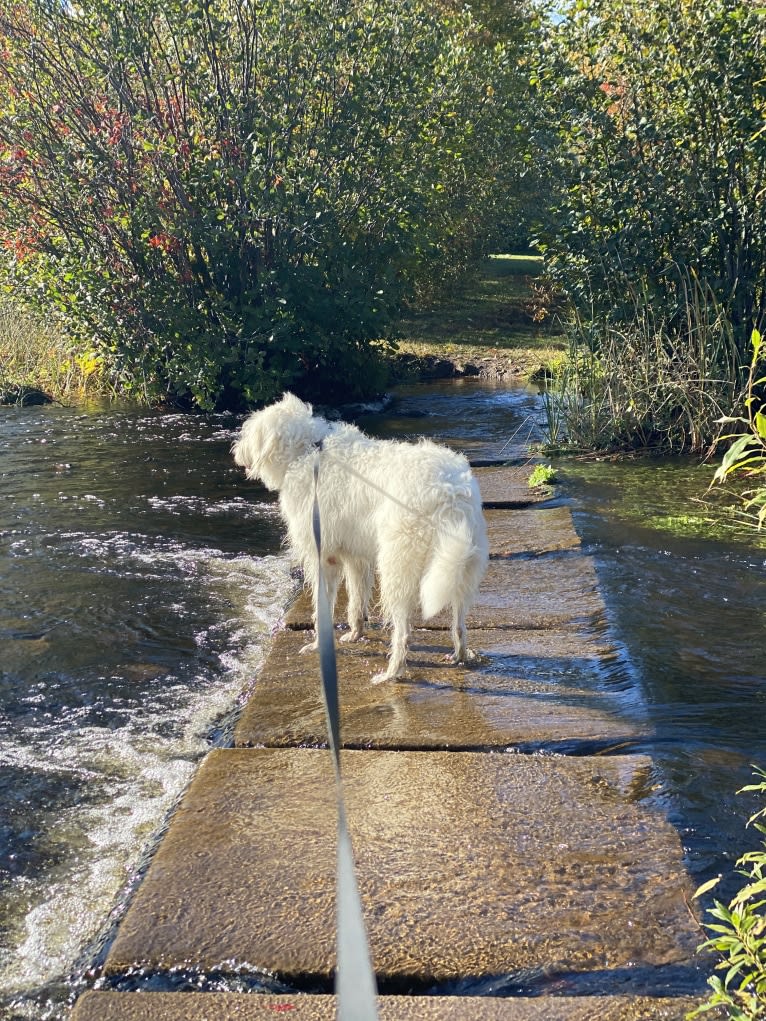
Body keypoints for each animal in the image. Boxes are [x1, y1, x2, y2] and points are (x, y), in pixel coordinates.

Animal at [230, 394, 488, 682]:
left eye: (249, 431)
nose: (235, 452)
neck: (308, 451)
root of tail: (450, 490)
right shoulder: (355, 558)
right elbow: (356, 600)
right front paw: (355, 634)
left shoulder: (324, 558)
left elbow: (323, 609)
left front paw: (318, 645)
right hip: (460, 565)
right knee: (459, 623)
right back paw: (459, 655)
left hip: (398, 567)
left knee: (403, 631)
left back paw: (392, 671)